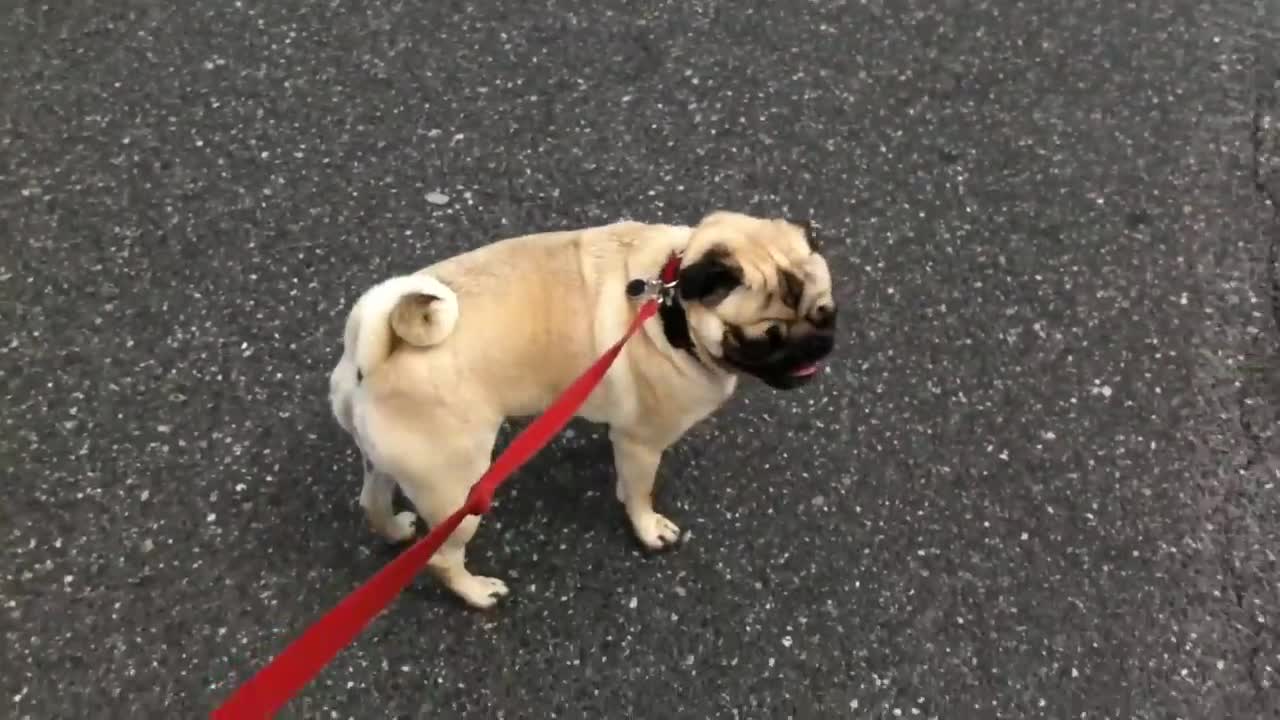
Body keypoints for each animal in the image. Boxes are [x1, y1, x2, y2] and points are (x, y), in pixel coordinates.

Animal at [325, 208, 834, 604]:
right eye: (764, 338)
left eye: (827, 313)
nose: (814, 348)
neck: (670, 305)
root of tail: (374, 354)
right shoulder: (642, 441)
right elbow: (640, 493)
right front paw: (648, 529)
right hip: (456, 488)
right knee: (442, 559)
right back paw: (478, 592)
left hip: (389, 462)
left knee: (373, 499)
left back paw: (394, 529)